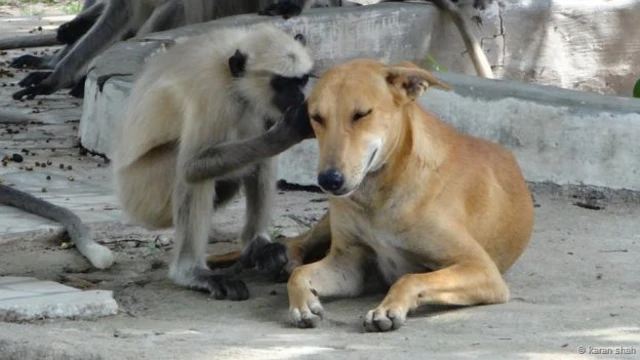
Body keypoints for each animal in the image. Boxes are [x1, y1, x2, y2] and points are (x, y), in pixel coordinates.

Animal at [113, 23, 318, 300]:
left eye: (301, 80)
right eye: (281, 83)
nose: (298, 97)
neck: (230, 74)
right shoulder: (211, 94)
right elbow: (191, 167)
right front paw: (285, 134)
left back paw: (256, 244)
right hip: (143, 192)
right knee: (192, 175)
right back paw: (190, 272)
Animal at [284, 58, 536, 332]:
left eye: (362, 114)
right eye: (316, 117)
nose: (329, 180)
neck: (379, 196)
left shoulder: (482, 268)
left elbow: (410, 278)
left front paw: (388, 308)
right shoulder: (348, 263)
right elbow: (299, 274)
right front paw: (303, 303)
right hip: (329, 219)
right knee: (298, 241)